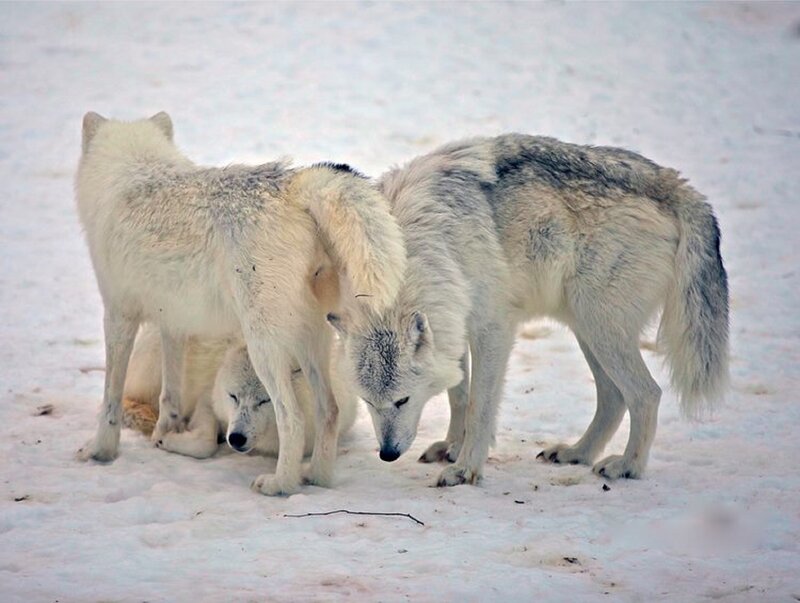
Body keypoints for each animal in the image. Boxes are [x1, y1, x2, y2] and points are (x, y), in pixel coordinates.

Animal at [75, 112, 405, 495]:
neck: (135, 172)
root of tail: (291, 186)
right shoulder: (173, 322)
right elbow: (170, 397)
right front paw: (165, 436)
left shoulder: (118, 316)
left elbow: (110, 399)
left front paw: (100, 452)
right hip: (312, 340)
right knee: (329, 411)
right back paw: (317, 478)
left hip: (265, 347)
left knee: (292, 417)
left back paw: (281, 485)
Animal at [329, 134, 729, 486]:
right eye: (368, 401)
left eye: (403, 400)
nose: (388, 454)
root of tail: (674, 184)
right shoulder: (453, 323)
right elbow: (459, 395)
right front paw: (453, 447)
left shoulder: (493, 328)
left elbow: (479, 406)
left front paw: (465, 469)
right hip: (588, 331)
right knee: (614, 398)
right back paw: (577, 454)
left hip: (599, 328)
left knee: (647, 394)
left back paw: (627, 466)